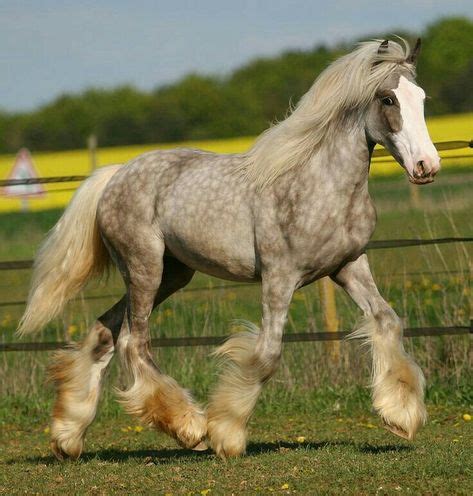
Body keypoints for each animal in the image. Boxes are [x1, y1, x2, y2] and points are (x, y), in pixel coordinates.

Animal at [18, 38, 438, 462]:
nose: (427, 166)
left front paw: (400, 415)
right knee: (132, 342)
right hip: (144, 268)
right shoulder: (279, 277)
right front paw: (226, 435)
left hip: (172, 275)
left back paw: (68, 436)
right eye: (387, 99)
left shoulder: (349, 266)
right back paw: (189, 428)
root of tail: (116, 174)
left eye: (421, 97)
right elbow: (266, 355)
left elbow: (388, 321)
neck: (321, 187)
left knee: (105, 330)